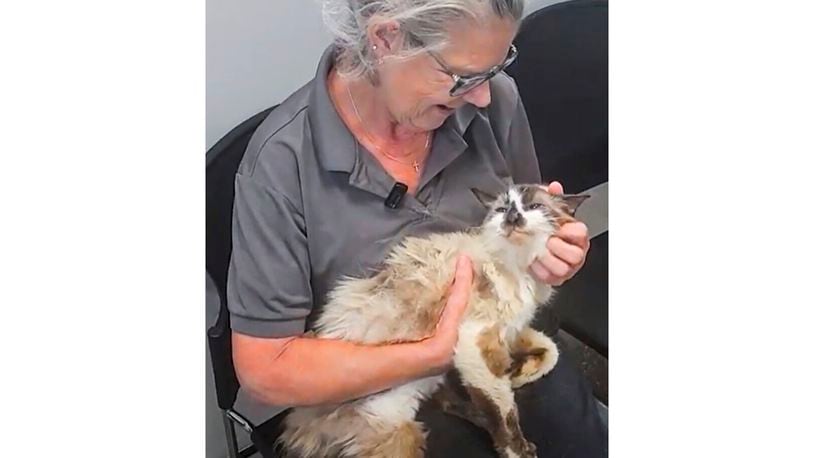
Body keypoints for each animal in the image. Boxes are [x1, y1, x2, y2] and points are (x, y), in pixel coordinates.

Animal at [278, 183, 588, 458]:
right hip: (396, 435)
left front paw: (517, 374)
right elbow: (505, 414)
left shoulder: (505, 332)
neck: (519, 266)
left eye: (534, 207)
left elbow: (549, 351)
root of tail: (301, 423)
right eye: (502, 209)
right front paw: (518, 449)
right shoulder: (475, 342)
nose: (512, 217)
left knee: (452, 402)